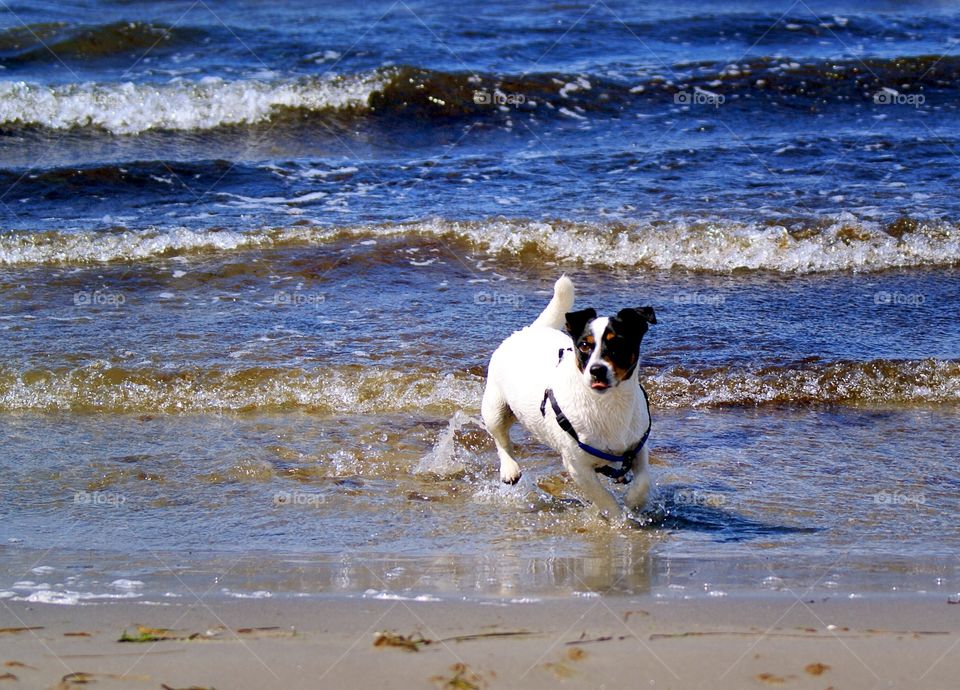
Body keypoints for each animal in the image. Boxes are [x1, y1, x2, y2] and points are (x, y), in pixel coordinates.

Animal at [484, 274, 656, 520]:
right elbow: (603, 498)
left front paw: (633, 503)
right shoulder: (577, 467)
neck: (608, 404)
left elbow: (643, 482)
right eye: (584, 346)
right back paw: (509, 468)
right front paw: (619, 519)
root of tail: (529, 330)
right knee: (501, 438)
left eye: (618, 343)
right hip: (494, 408)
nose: (597, 370)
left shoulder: (639, 447)